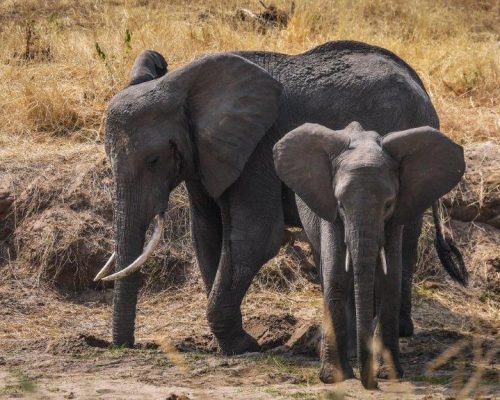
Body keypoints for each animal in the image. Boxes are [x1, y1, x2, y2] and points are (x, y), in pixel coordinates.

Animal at [95, 41, 466, 356]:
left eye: (155, 160)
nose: (126, 347)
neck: (186, 84)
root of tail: (419, 84)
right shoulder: (203, 155)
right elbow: (207, 234)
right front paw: (228, 343)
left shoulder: (258, 149)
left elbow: (255, 238)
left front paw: (242, 345)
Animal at [274, 121, 464, 388]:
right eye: (341, 205)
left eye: (388, 204)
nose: (371, 383)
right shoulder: (330, 215)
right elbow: (336, 279)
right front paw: (334, 378)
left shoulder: (396, 219)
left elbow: (389, 282)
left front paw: (389, 375)